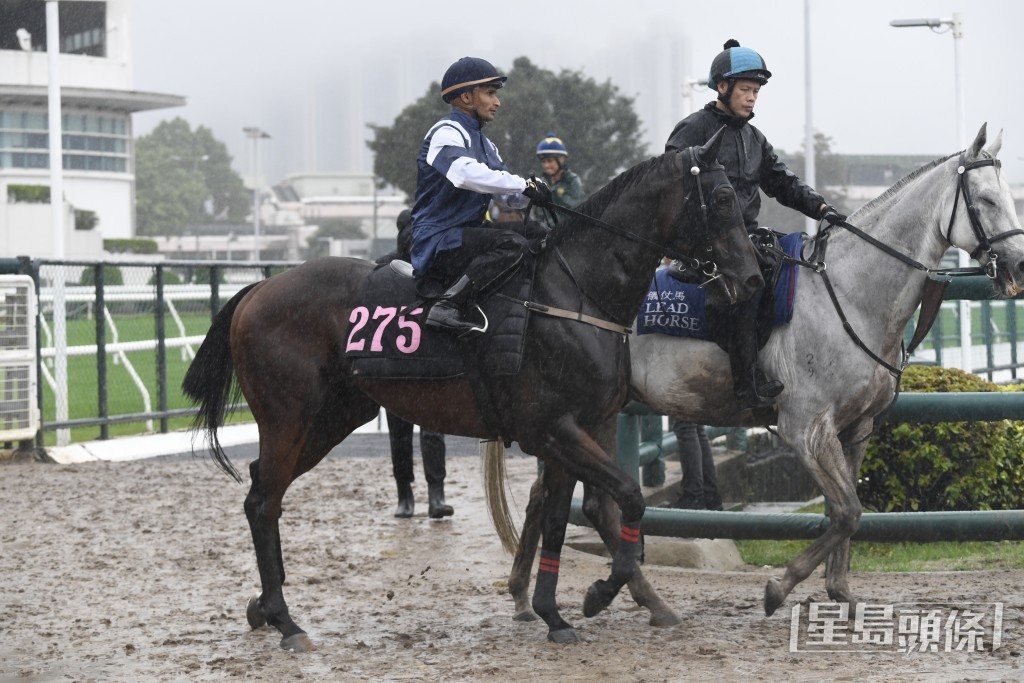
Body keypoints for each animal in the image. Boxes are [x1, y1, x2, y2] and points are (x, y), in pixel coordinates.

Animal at [182, 129, 770, 651]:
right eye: (723, 198)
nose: (753, 279)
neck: (574, 294)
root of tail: (259, 289)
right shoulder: (551, 429)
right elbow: (624, 496)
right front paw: (598, 594)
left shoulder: (585, 427)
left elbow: (569, 514)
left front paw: (553, 611)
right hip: (290, 417)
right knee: (264, 500)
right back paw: (286, 622)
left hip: (332, 418)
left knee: (264, 490)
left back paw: (263, 605)